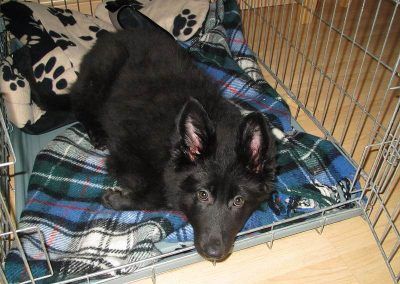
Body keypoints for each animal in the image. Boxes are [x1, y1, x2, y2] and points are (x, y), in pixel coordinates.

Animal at [71, 27, 276, 260]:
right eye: (202, 195)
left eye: (239, 200)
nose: (214, 253)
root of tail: (115, 33)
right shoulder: (123, 157)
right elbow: (160, 191)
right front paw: (117, 198)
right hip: (102, 72)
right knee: (78, 102)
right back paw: (96, 132)